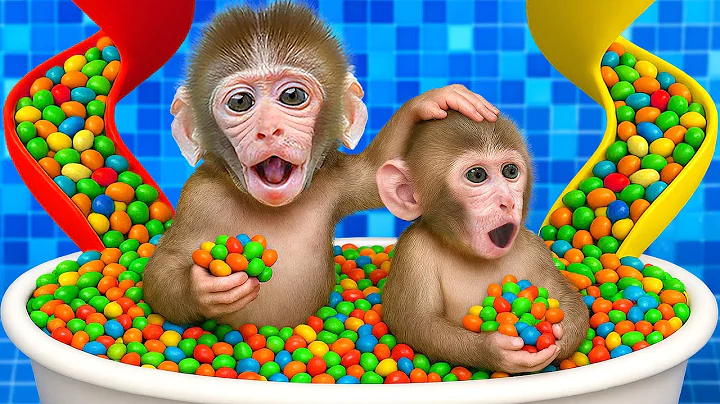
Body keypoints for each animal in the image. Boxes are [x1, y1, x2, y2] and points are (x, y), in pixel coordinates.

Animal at [142, 2, 499, 329]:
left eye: (292, 96)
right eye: (240, 102)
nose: (268, 129)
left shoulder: (334, 179)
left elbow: (374, 174)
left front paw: (431, 101)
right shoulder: (199, 195)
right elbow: (163, 267)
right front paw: (203, 288)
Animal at [377, 112, 589, 374]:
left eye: (510, 171)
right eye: (477, 175)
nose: (507, 201)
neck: (470, 253)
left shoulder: (535, 248)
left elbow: (562, 295)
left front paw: (561, 335)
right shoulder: (412, 252)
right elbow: (417, 322)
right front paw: (494, 349)